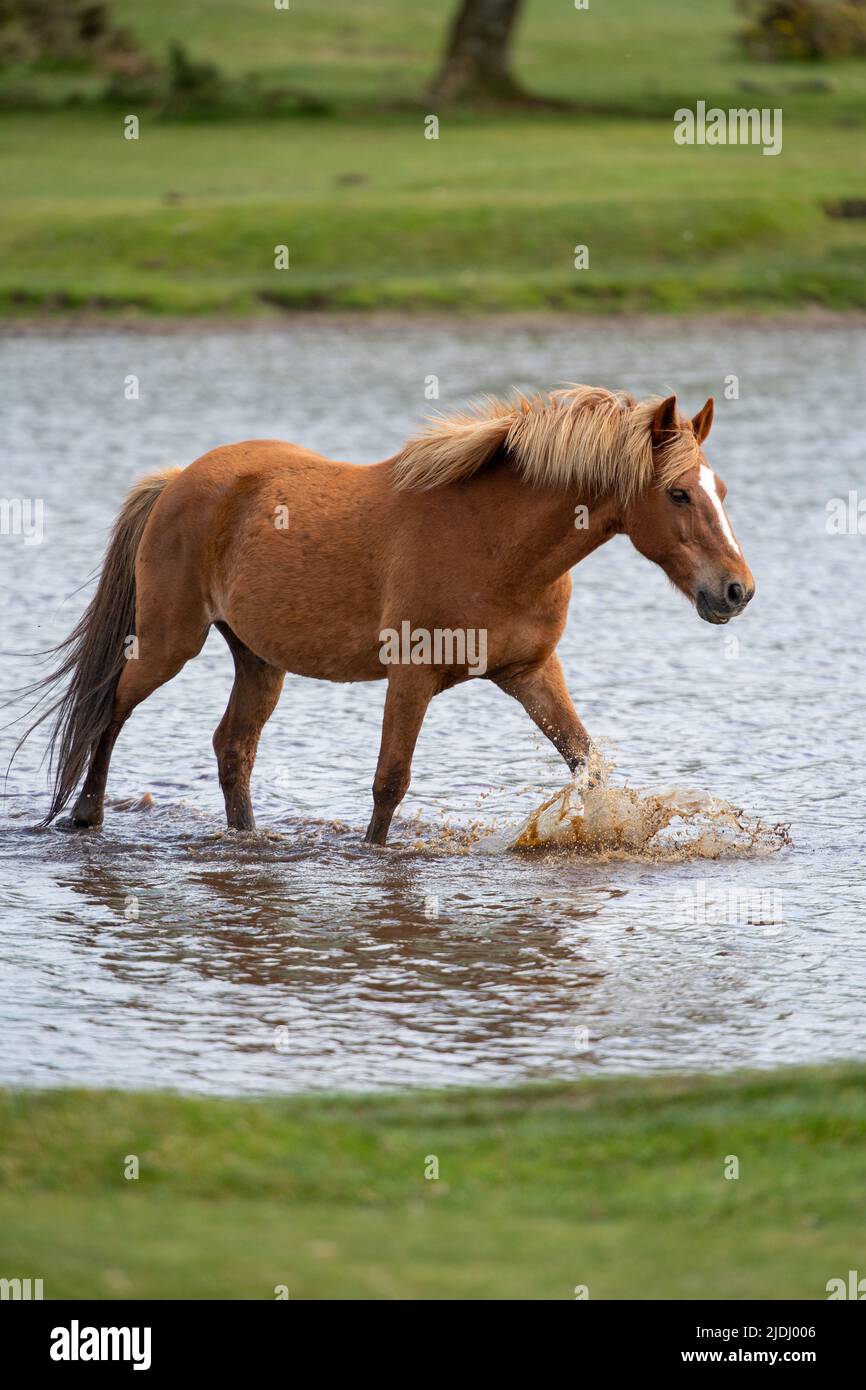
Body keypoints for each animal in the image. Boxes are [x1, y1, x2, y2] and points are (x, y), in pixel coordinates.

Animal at [20, 383, 750, 845]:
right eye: (679, 493)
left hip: (257, 659)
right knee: (109, 708)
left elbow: (587, 764)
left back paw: (248, 837)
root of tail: (176, 481)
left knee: (233, 747)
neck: (498, 544)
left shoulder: (532, 673)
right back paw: (86, 817)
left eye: (720, 488)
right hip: (170, 641)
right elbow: (389, 784)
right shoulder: (411, 675)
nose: (736, 590)